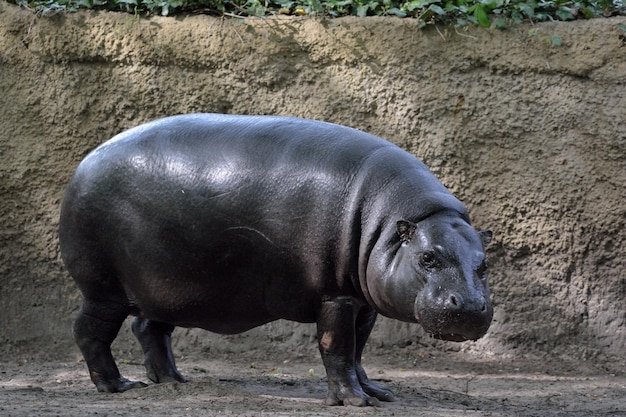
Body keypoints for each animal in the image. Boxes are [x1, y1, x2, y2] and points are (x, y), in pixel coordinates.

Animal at [58, 112, 490, 404]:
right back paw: (116, 386)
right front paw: (355, 401)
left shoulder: (362, 300)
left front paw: (376, 391)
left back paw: (175, 382)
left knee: (149, 329)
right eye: (428, 258)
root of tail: (84, 162)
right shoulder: (336, 295)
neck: (392, 224)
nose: (470, 305)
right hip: (104, 288)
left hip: (166, 285)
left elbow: (358, 349)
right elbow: (337, 346)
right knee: (89, 331)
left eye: (484, 263)